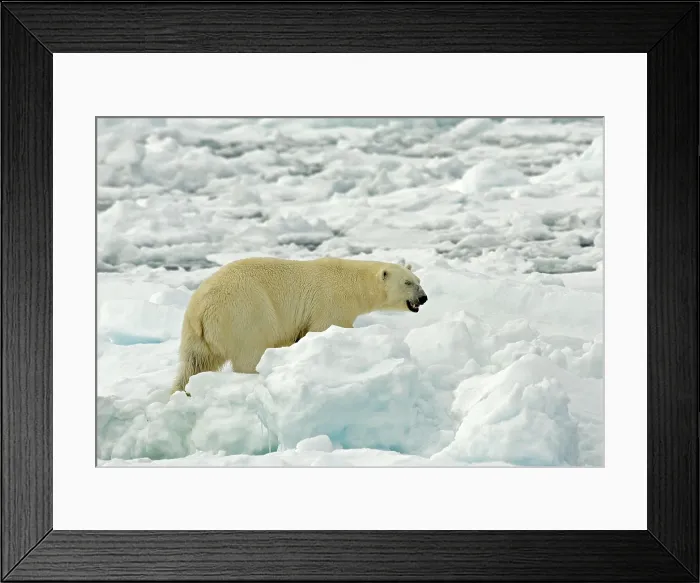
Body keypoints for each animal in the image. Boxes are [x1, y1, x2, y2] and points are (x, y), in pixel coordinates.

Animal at [171, 256, 428, 394]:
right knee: (249, 354)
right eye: (407, 283)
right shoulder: (331, 304)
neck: (353, 284)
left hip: (195, 335)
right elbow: (324, 328)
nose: (423, 298)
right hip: (244, 314)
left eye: (418, 280)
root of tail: (201, 309)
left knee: (193, 365)